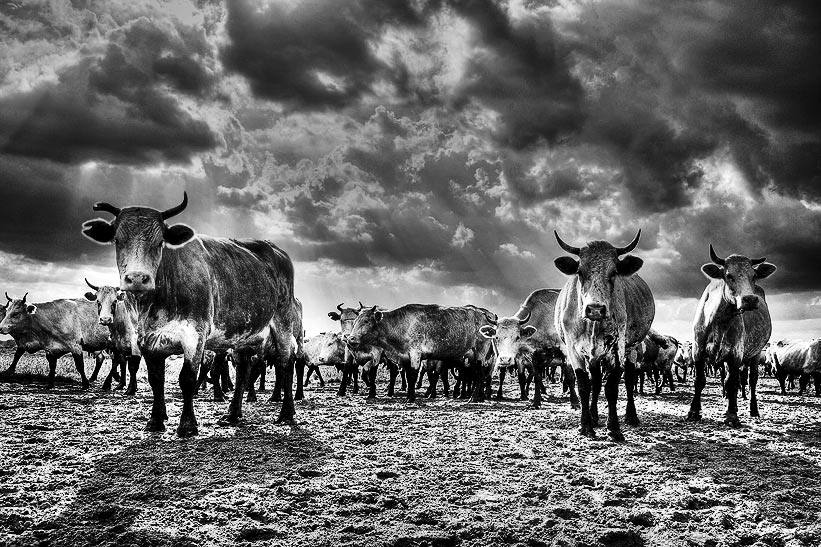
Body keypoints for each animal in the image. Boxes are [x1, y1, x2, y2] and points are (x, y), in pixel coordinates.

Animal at [80, 193, 296, 436]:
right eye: (117, 240)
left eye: (159, 242)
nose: (136, 278)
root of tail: (276, 250)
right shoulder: (146, 340)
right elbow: (156, 379)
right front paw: (155, 420)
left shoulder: (194, 335)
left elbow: (187, 378)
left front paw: (187, 424)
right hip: (242, 334)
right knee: (243, 368)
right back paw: (232, 414)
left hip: (283, 322)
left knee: (286, 363)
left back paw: (287, 414)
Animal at [344, 304, 494, 402]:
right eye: (355, 321)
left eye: (366, 321)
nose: (350, 339)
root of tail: (483, 315)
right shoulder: (405, 357)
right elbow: (408, 375)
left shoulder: (415, 354)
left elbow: (412, 375)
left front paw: (411, 398)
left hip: (480, 353)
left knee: (480, 375)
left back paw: (473, 398)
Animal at [552, 230, 652, 440]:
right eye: (580, 272)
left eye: (614, 272)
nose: (595, 309)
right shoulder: (573, 350)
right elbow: (584, 386)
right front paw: (585, 426)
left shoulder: (617, 348)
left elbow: (612, 387)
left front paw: (614, 428)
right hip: (593, 356)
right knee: (596, 383)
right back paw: (594, 417)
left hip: (632, 348)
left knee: (629, 380)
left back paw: (631, 416)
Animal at [684, 245, 776, 428]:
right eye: (728, 275)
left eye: (754, 276)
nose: (750, 299)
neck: (718, 320)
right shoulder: (698, 351)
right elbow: (700, 381)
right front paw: (694, 411)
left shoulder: (735, 355)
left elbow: (733, 383)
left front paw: (732, 415)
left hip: (756, 353)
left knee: (752, 380)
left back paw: (753, 409)